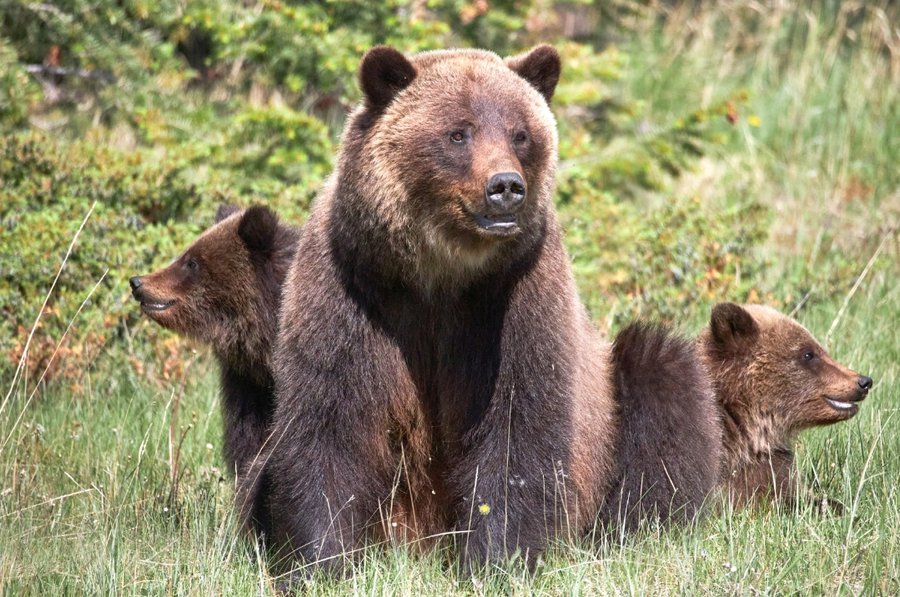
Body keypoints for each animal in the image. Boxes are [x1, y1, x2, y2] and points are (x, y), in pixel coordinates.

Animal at [253, 44, 620, 572]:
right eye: (458, 132)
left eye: (521, 133)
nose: (505, 186)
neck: (438, 273)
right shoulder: (351, 291)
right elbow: (328, 423)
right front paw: (320, 562)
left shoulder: (513, 298)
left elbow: (516, 428)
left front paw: (495, 559)